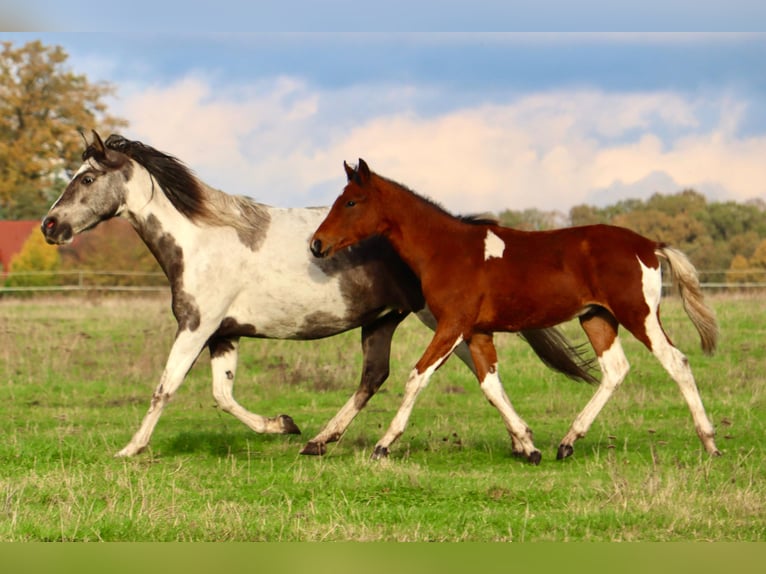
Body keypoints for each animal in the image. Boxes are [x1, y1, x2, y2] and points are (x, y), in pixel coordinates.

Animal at [41, 131, 595, 458]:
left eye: (86, 177)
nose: (49, 225)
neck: (200, 239)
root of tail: (457, 230)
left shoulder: (196, 327)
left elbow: (165, 387)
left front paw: (130, 449)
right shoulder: (222, 334)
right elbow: (222, 395)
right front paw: (283, 425)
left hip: (434, 319)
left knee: (464, 371)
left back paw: (526, 444)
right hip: (386, 320)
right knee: (380, 377)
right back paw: (322, 441)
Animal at [310, 159, 721, 463]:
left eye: (351, 202)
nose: (316, 244)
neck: (447, 250)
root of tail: (649, 246)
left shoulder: (452, 325)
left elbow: (417, 376)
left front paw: (383, 444)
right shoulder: (476, 332)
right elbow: (491, 386)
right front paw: (527, 444)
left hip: (639, 315)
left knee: (677, 362)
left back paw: (710, 442)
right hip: (596, 317)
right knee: (615, 370)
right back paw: (567, 442)